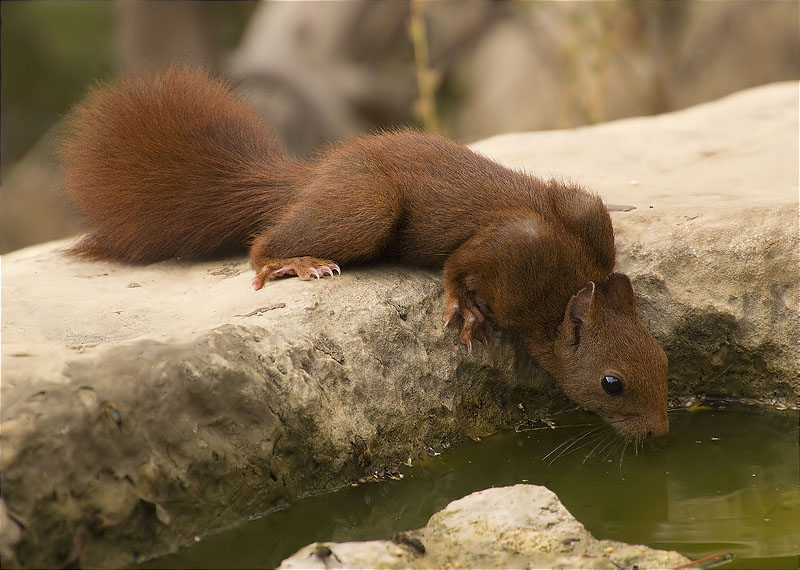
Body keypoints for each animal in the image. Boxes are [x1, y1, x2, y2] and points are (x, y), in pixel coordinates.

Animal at [61, 67, 668, 440]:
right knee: (261, 243)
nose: (659, 432)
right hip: (369, 205)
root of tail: (311, 177)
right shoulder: (513, 252)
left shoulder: (585, 216)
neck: (566, 283)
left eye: (663, 359)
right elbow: (458, 267)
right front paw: (465, 311)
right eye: (612, 383)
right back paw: (292, 263)